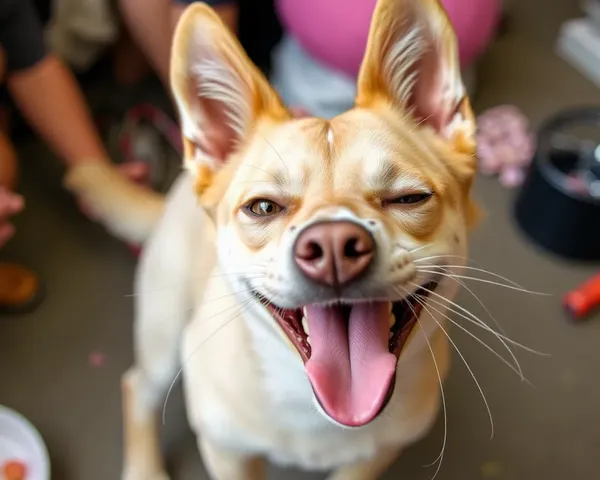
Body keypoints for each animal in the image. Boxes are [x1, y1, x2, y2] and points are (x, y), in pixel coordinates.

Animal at [91, 0, 480, 478]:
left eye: (408, 197)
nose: (334, 247)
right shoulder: (227, 452)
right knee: (136, 387)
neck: (317, 407)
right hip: (163, 333)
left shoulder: (375, 457)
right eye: (263, 207)